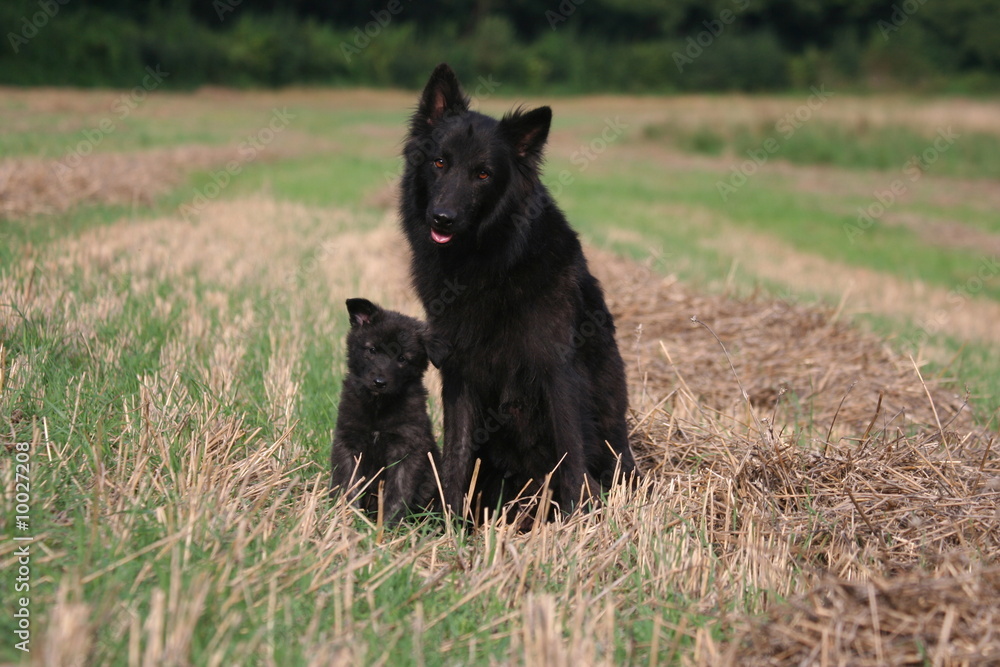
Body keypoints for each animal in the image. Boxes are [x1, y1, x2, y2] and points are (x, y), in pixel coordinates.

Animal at [328, 300, 446, 524]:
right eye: (372, 350)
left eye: (402, 359)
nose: (379, 382)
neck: (378, 407)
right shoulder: (348, 441)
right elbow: (348, 483)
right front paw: (348, 518)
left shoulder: (406, 450)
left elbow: (397, 493)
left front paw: (388, 526)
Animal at [400, 62, 640, 520]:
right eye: (439, 162)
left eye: (483, 174)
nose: (442, 218)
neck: (485, 263)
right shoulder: (459, 372)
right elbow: (456, 456)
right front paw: (448, 522)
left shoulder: (556, 371)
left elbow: (570, 454)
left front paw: (578, 519)